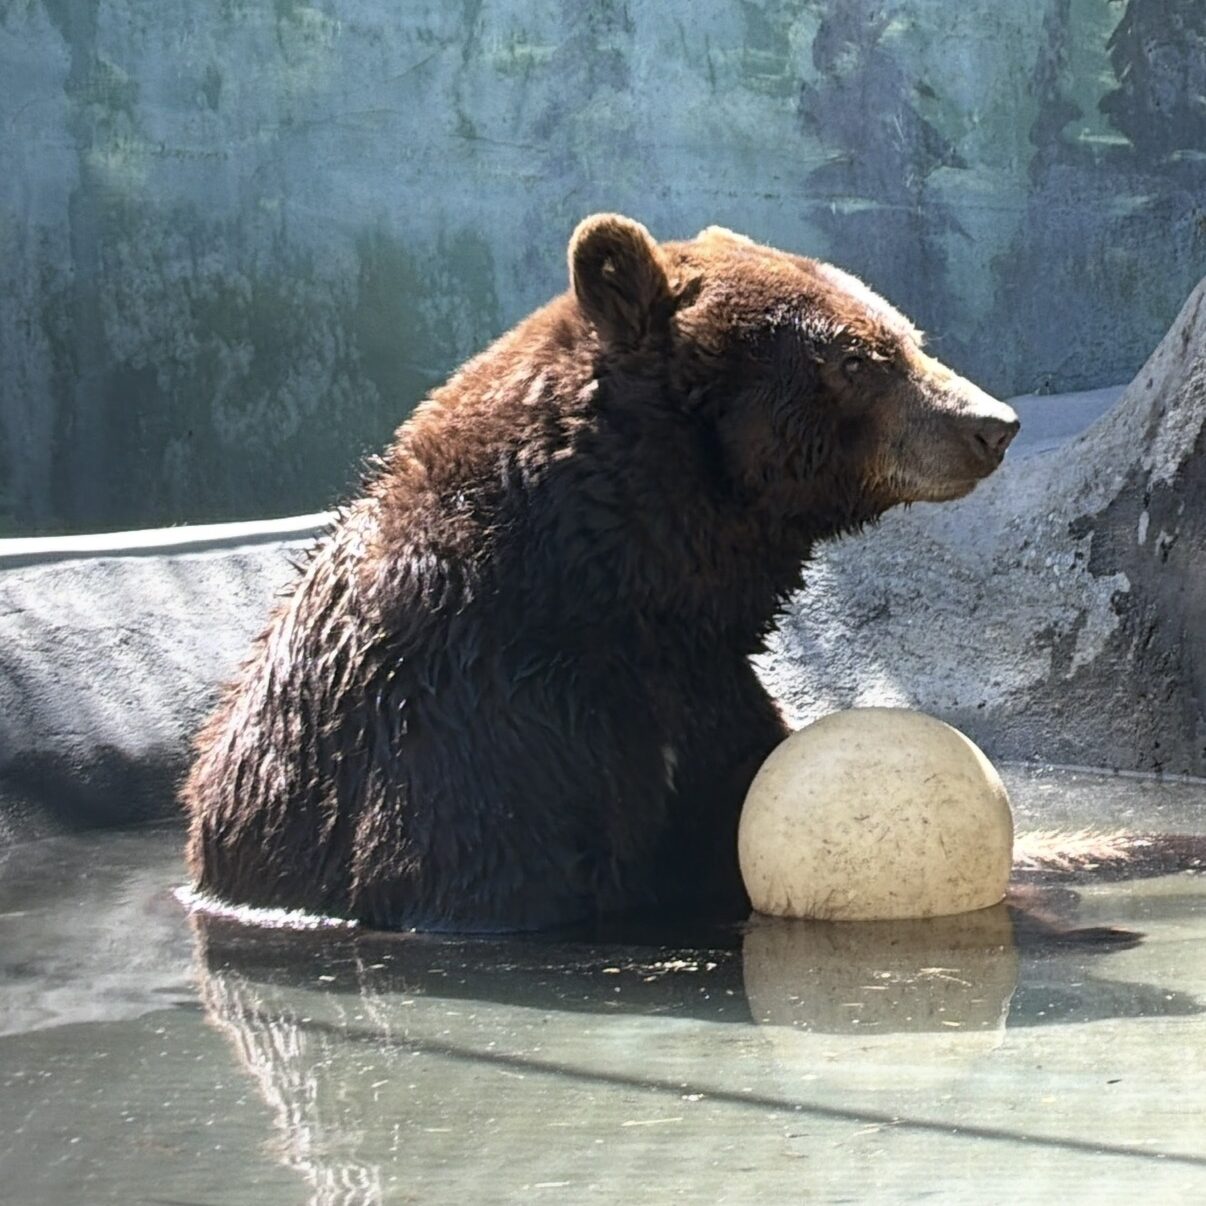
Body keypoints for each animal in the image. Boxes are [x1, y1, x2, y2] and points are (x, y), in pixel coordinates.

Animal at [182, 214, 1019, 932]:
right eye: (855, 359)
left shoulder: (705, 699)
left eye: (905, 336)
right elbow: (502, 869)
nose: (992, 423)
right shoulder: (471, 726)